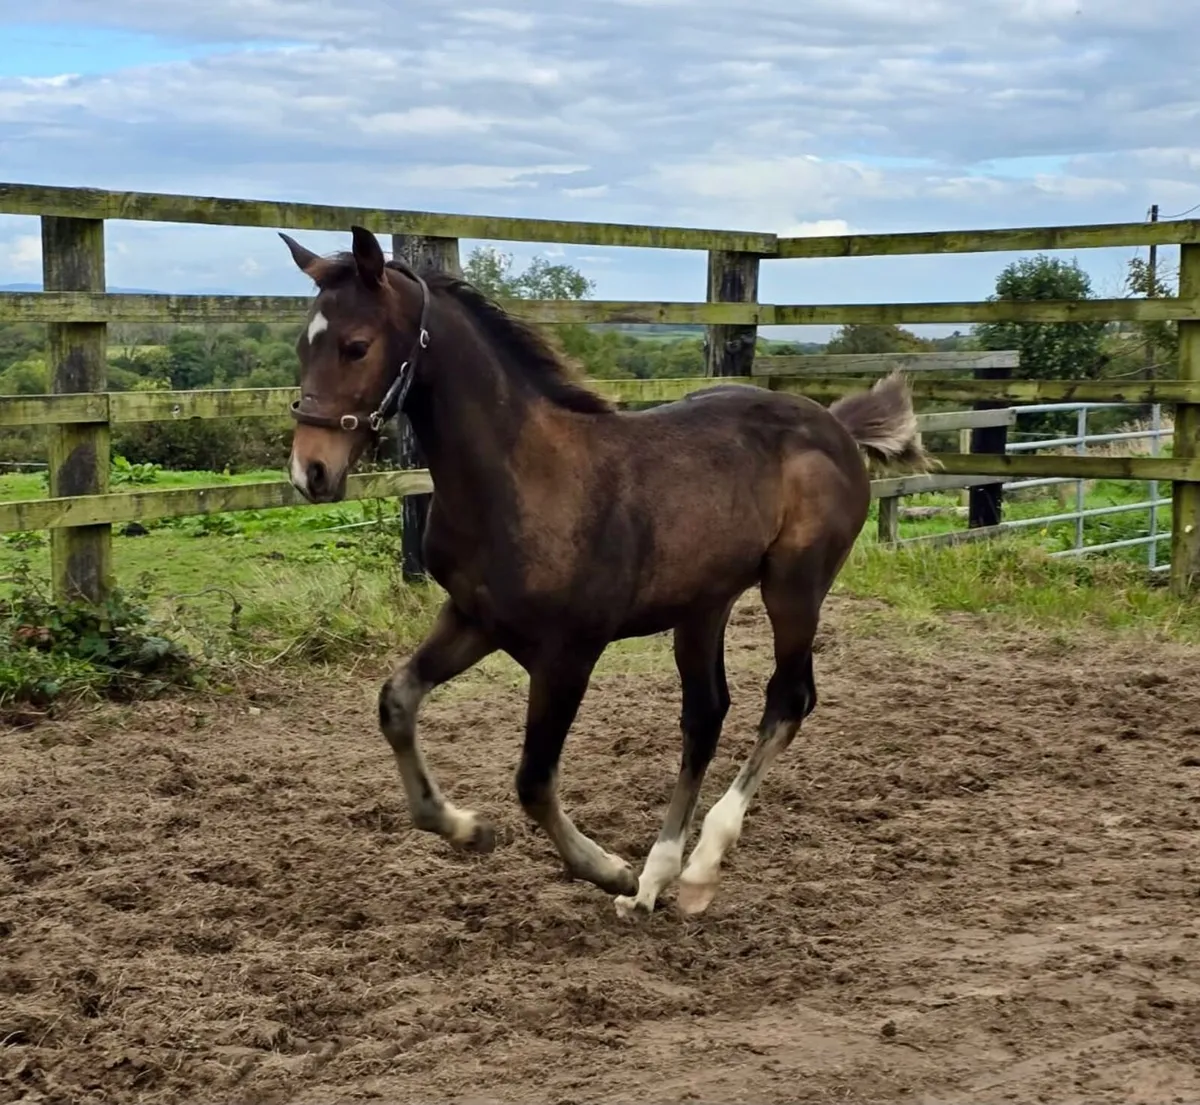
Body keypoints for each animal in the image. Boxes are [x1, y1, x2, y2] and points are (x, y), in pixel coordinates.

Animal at [280, 225, 933, 918]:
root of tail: (833, 422)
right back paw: (656, 878)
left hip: (795, 586)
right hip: (705, 603)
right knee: (706, 714)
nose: (310, 472)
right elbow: (397, 702)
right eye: (302, 345)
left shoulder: (569, 650)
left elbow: (534, 779)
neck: (522, 477)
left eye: (356, 346)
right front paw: (470, 829)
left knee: (788, 699)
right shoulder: (473, 617)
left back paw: (697, 870)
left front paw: (606, 869)